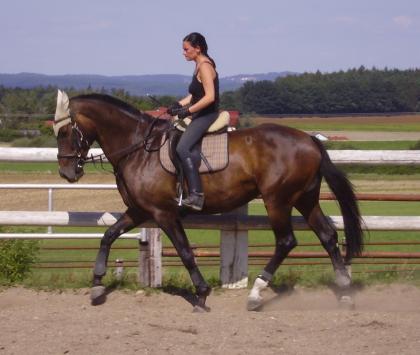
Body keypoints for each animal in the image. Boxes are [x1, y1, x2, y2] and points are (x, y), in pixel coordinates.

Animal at [54, 91, 362, 312]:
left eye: (65, 132)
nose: (67, 172)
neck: (139, 148)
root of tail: (310, 140)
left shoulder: (163, 213)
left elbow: (185, 251)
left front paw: (201, 295)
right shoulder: (140, 211)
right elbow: (108, 235)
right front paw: (97, 286)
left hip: (278, 200)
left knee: (287, 241)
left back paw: (255, 294)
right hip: (305, 199)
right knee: (327, 235)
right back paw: (345, 292)